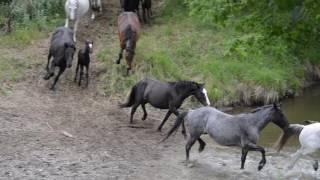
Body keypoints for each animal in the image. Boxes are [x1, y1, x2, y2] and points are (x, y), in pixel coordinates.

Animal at [162, 104, 290, 170]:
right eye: (281, 114)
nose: (287, 126)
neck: (252, 123)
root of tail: (191, 111)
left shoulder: (245, 147)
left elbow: (243, 159)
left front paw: (242, 169)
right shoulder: (248, 145)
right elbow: (263, 150)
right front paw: (260, 166)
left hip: (199, 132)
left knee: (197, 141)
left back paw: (201, 147)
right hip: (194, 134)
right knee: (187, 147)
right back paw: (188, 162)